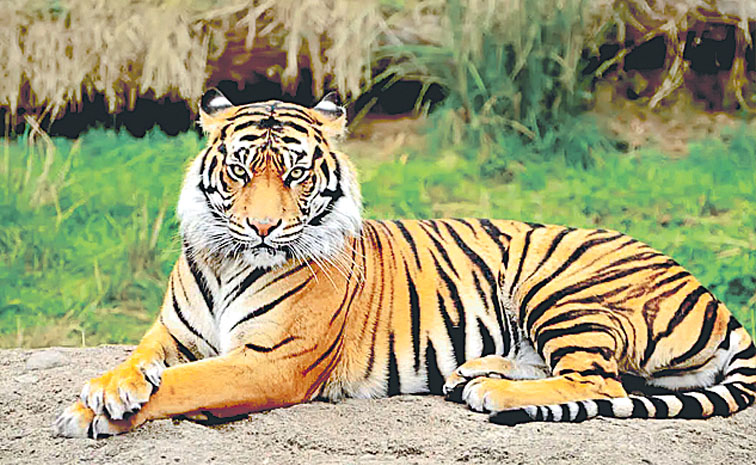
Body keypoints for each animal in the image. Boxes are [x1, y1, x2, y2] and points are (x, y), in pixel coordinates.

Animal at [54, 89, 756, 438]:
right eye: (241, 170)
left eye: (296, 174)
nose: (263, 227)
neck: (228, 262)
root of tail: (714, 297)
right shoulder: (170, 333)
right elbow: (142, 361)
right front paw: (107, 388)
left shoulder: (269, 363)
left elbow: (187, 384)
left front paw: (92, 413)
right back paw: (474, 374)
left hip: (562, 286)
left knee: (601, 384)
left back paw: (493, 393)